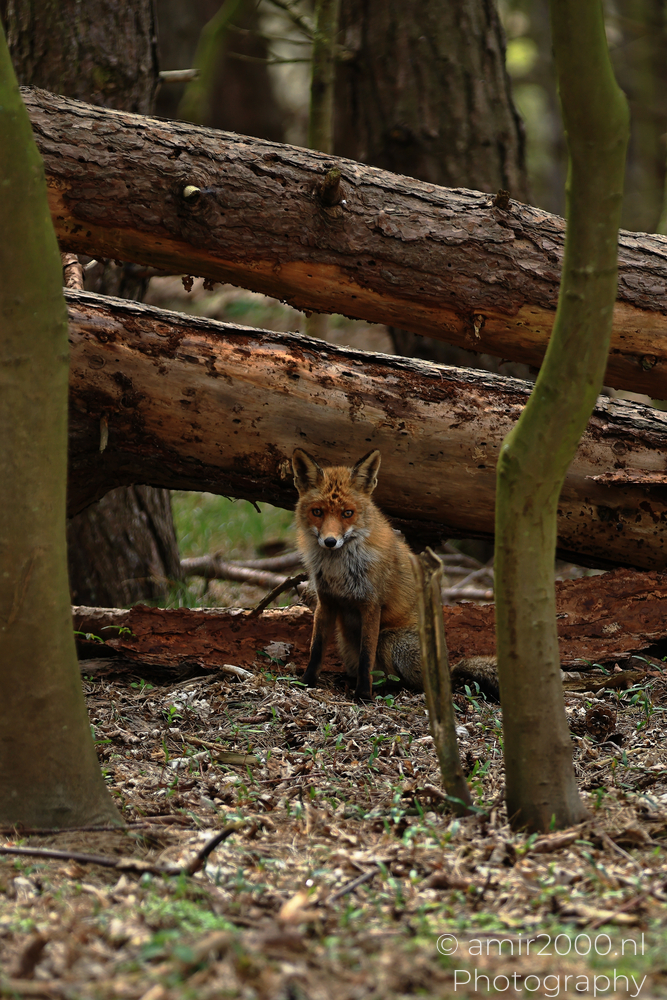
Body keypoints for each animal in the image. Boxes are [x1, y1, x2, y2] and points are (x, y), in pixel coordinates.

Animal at [292, 448, 422, 701]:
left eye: (347, 513)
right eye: (317, 512)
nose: (330, 541)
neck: (338, 569)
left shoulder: (371, 604)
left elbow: (366, 656)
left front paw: (363, 694)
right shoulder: (326, 601)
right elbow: (316, 649)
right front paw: (306, 682)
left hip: (389, 640)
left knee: (405, 681)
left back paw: (382, 688)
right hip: (344, 642)